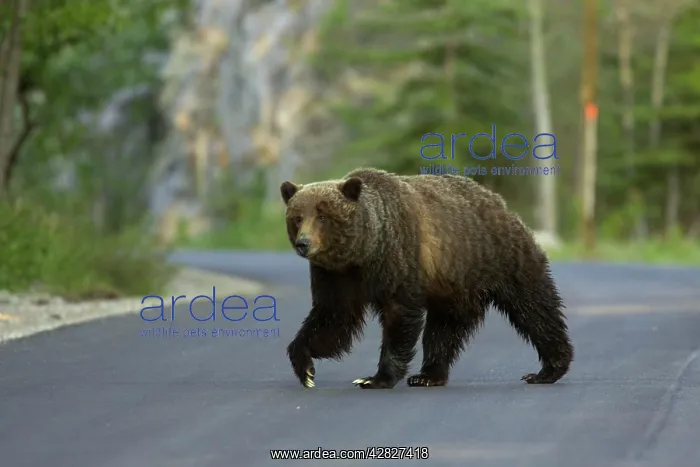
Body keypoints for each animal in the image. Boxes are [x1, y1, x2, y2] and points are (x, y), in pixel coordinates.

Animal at [280, 167, 574, 389]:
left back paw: (548, 369)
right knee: (444, 329)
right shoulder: (335, 276)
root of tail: (499, 202)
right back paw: (429, 374)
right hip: (455, 284)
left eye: (323, 215)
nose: (304, 244)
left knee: (534, 308)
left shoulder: (398, 259)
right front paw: (305, 368)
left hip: (501, 258)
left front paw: (376, 378)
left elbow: (398, 317)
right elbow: (332, 318)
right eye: (297, 217)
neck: (364, 251)